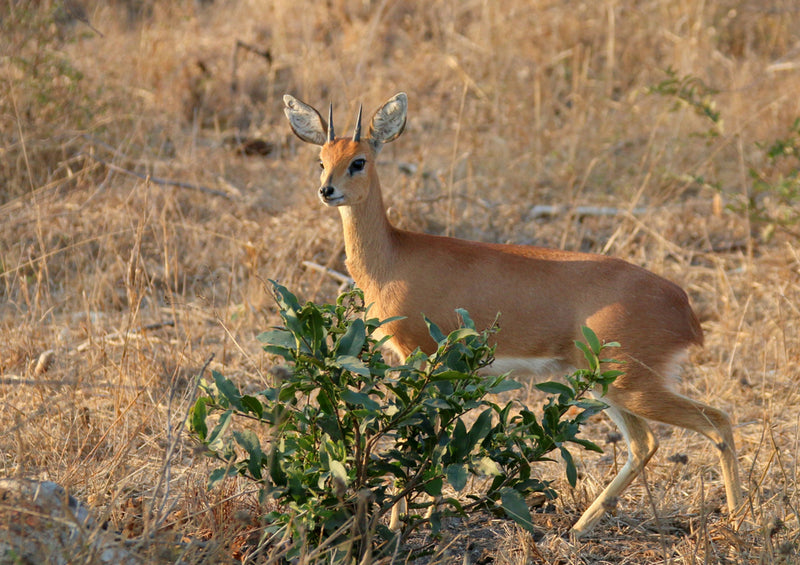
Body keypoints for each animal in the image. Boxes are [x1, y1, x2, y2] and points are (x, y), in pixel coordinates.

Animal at [282, 92, 744, 536]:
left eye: (358, 161)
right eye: (322, 160)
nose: (327, 191)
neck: (393, 258)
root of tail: (684, 308)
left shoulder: (419, 356)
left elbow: (412, 434)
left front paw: (399, 525)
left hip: (630, 386)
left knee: (717, 422)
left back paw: (742, 525)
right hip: (608, 386)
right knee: (646, 444)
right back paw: (577, 529)